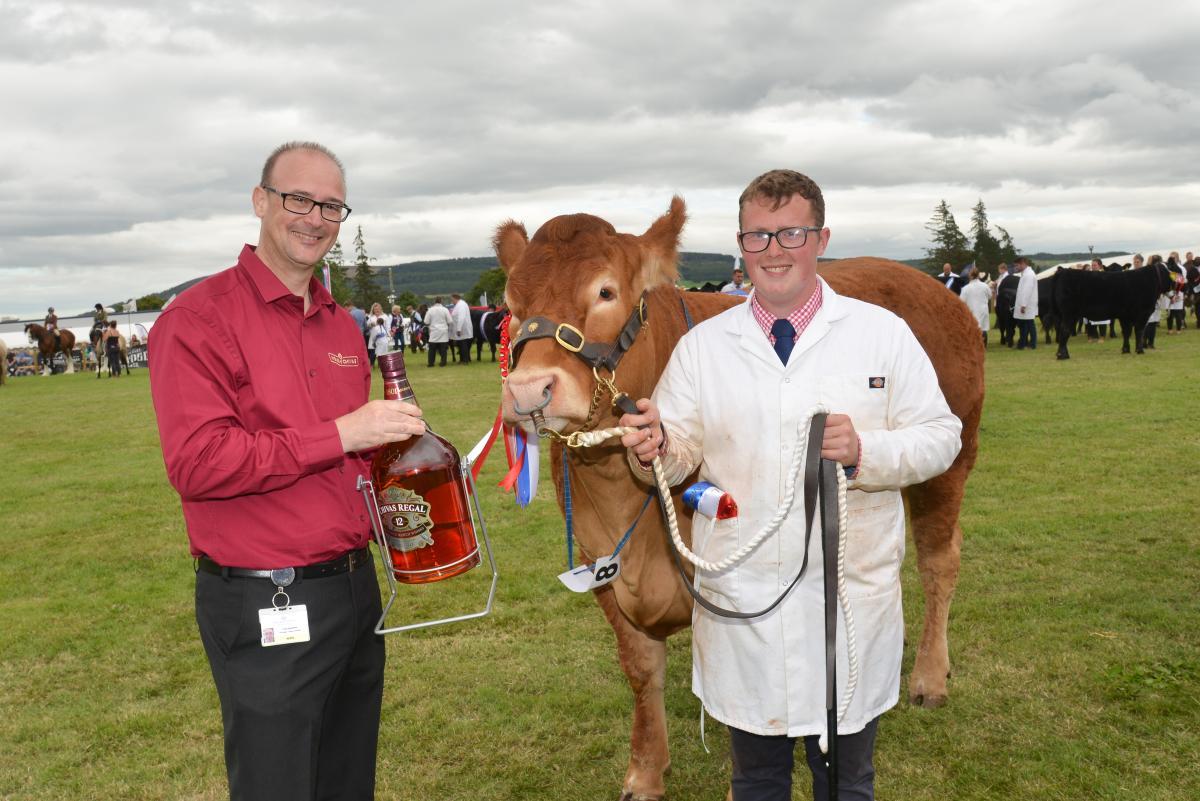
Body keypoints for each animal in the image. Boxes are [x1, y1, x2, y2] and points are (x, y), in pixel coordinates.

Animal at [1047, 264, 1176, 359]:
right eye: (1168, 273)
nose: (1175, 284)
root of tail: (1062, 272)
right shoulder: (1142, 313)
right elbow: (1139, 331)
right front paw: (1140, 350)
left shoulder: (1125, 316)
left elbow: (1127, 332)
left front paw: (1125, 350)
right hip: (1069, 314)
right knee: (1065, 331)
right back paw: (1063, 355)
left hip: (1063, 315)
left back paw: (1060, 354)